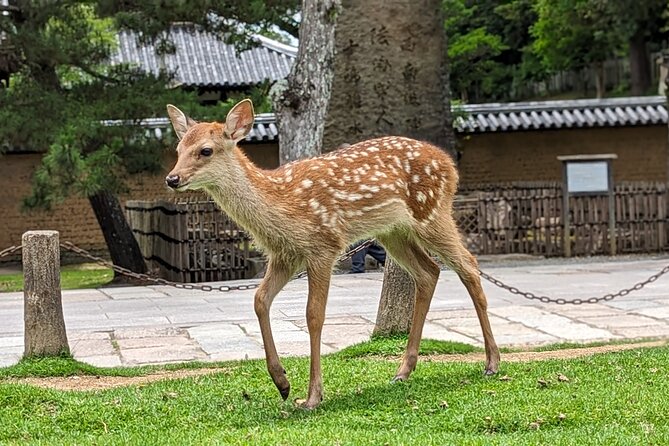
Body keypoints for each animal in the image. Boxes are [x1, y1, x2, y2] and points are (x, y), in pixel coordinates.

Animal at [164, 99, 498, 410]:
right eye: (178, 148)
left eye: (206, 150)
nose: (172, 179)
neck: (280, 205)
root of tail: (449, 164)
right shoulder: (285, 255)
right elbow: (259, 299)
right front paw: (282, 383)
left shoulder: (323, 246)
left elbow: (314, 315)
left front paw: (312, 396)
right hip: (393, 230)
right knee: (429, 272)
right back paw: (403, 370)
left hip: (431, 212)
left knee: (468, 264)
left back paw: (492, 362)